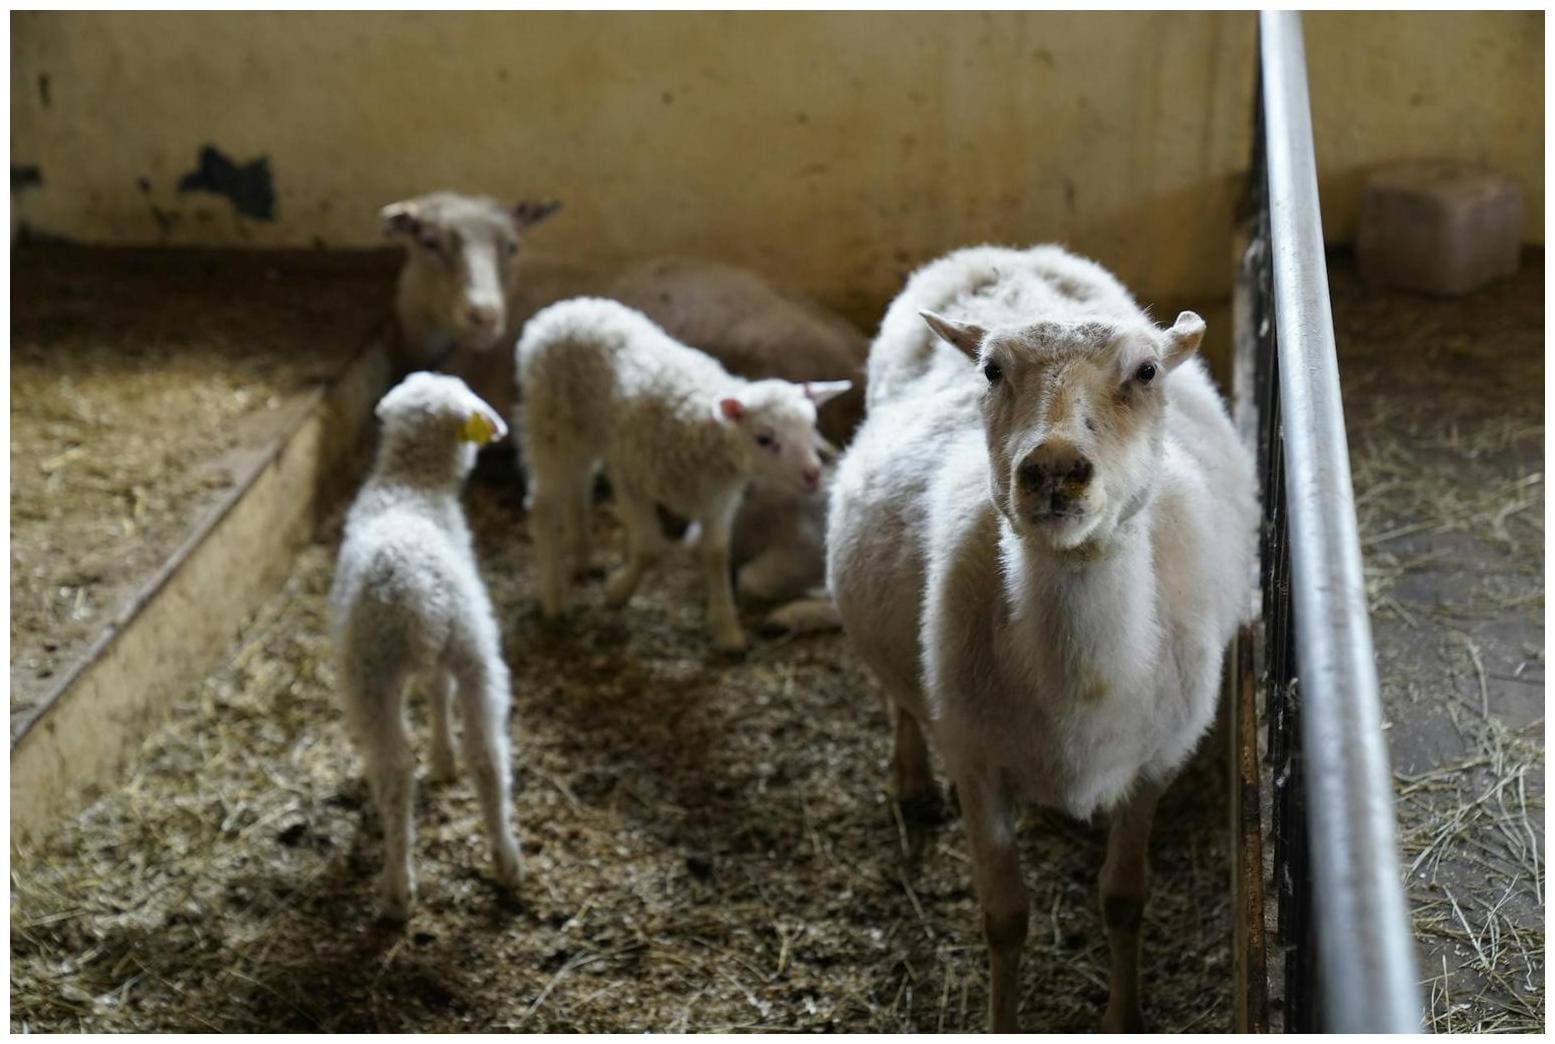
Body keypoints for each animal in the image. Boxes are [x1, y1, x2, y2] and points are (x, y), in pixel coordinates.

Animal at [329, 371, 521, 921]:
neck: (410, 486)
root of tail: (416, 591)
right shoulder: (450, 656)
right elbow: (438, 693)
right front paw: (444, 759)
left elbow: (434, 695)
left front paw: (438, 759)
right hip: (473, 648)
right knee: (488, 756)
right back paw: (507, 861)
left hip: (370, 675)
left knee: (395, 772)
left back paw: (397, 889)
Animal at [517, 296, 850, 652]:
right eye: (764, 438)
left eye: (811, 426)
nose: (814, 475)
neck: (702, 431)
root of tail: (566, 308)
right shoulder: (631, 476)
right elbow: (650, 549)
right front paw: (619, 591)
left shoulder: (716, 500)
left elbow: (717, 555)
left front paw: (726, 630)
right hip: (550, 422)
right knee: (543, 501)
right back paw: (553, 596)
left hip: (587, 430)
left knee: (579, 482)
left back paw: (582, 556)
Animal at [826, 244, 1258, 1031]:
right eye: (992, 371)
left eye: (1146, 371)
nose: (1053, 467)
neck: (1078, 675)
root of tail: (1005, 254)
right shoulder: (974, 762)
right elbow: (1005, 920)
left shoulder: (1154, 762)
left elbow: (1123, 900)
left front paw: (1123, 1014)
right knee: (898, 692)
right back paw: (911, 780)